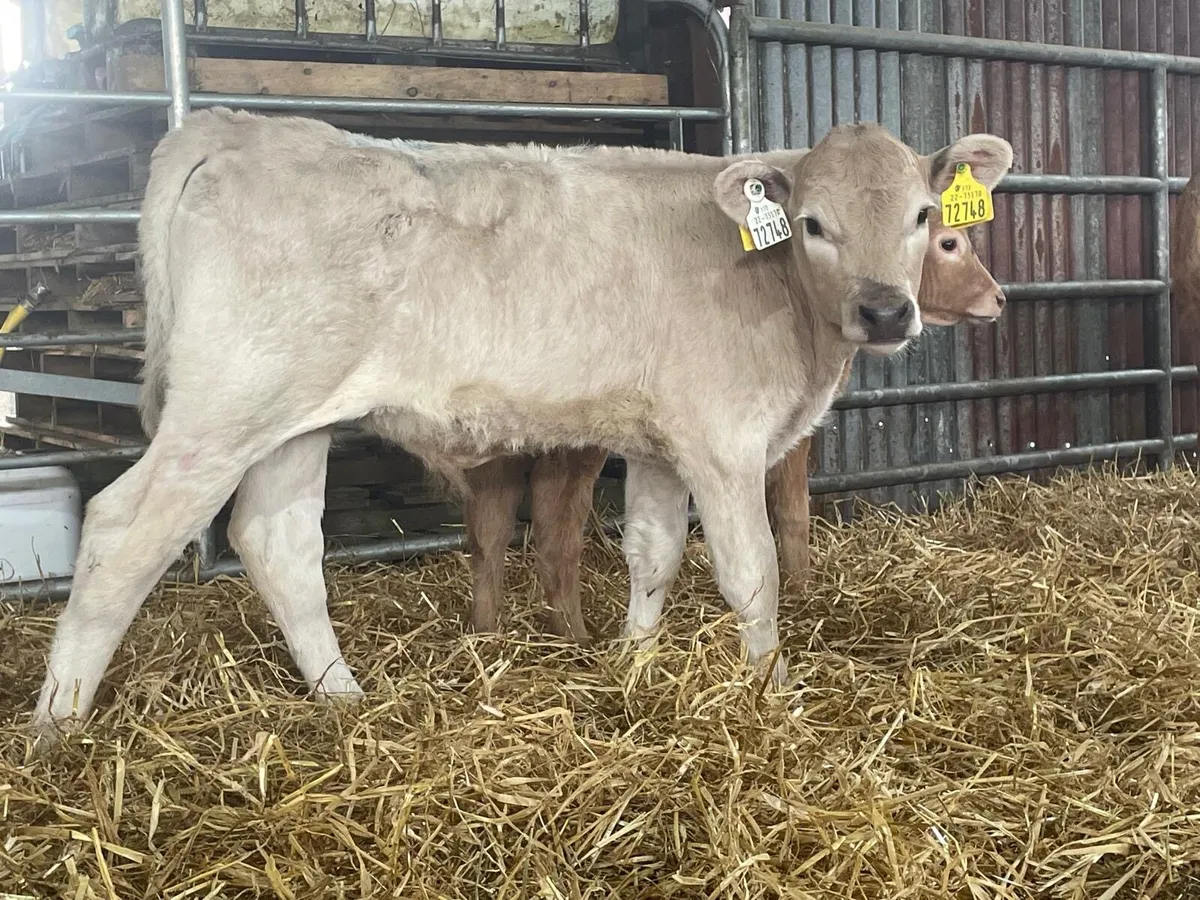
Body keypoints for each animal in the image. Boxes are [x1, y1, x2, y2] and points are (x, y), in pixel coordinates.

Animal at [462, 204, 1007, 645]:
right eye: (950, 242)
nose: (999, 297)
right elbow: (791, 509)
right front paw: (802, 586)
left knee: (491, 528)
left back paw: (489, 635)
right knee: (554, 526)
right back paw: (570, 637)